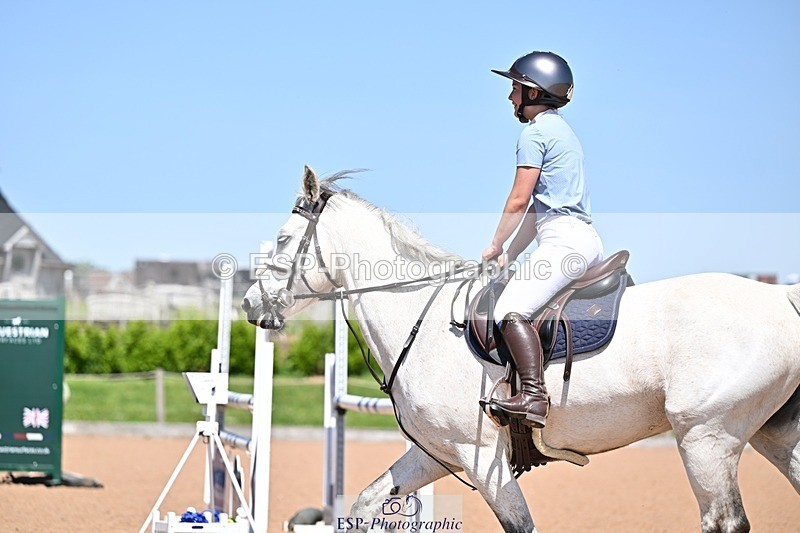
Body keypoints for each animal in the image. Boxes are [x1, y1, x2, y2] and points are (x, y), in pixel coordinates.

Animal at [242, 166, 800, 532]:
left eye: (282, 239)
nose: (250, 305)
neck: (419, 313)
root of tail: (779, 295)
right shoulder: (436, 453)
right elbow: (365, 502)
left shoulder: (478, 456)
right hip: (773, 436)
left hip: (706, 437)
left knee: (724, 521)